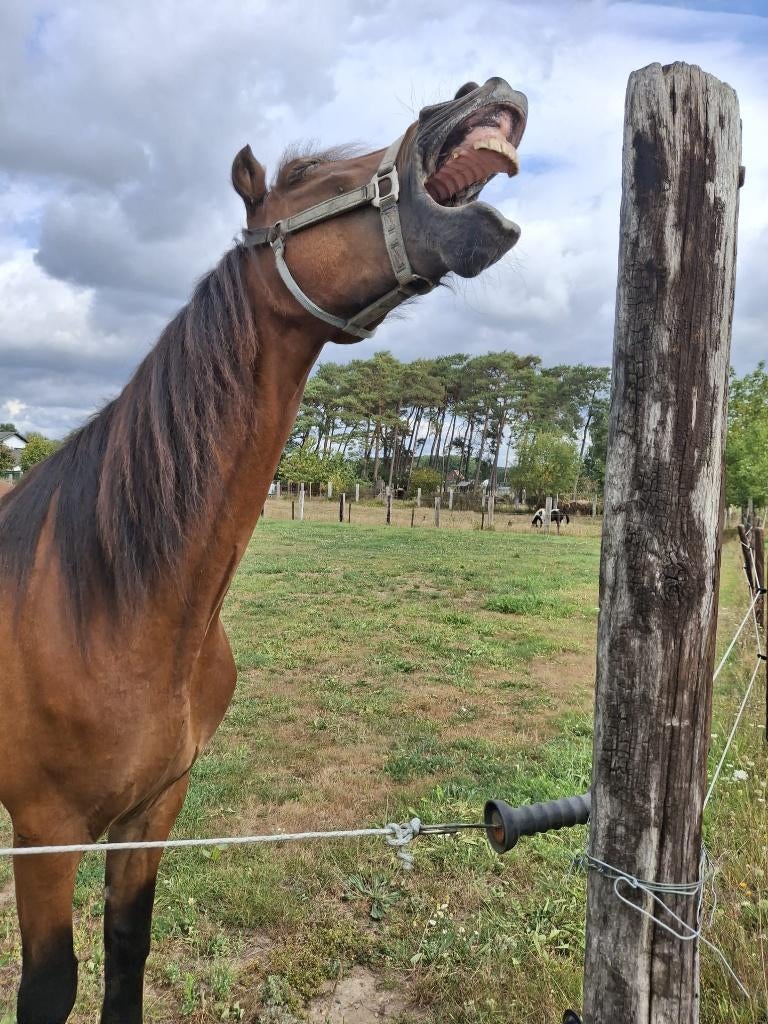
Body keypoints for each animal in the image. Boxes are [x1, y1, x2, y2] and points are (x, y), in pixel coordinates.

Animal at [0, 77, 526, 1022]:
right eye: (312, 176)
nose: (476, 96)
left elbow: (127, 951)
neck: (112, 602)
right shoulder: (45, 834)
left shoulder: (155, 809)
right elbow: (49, 988)